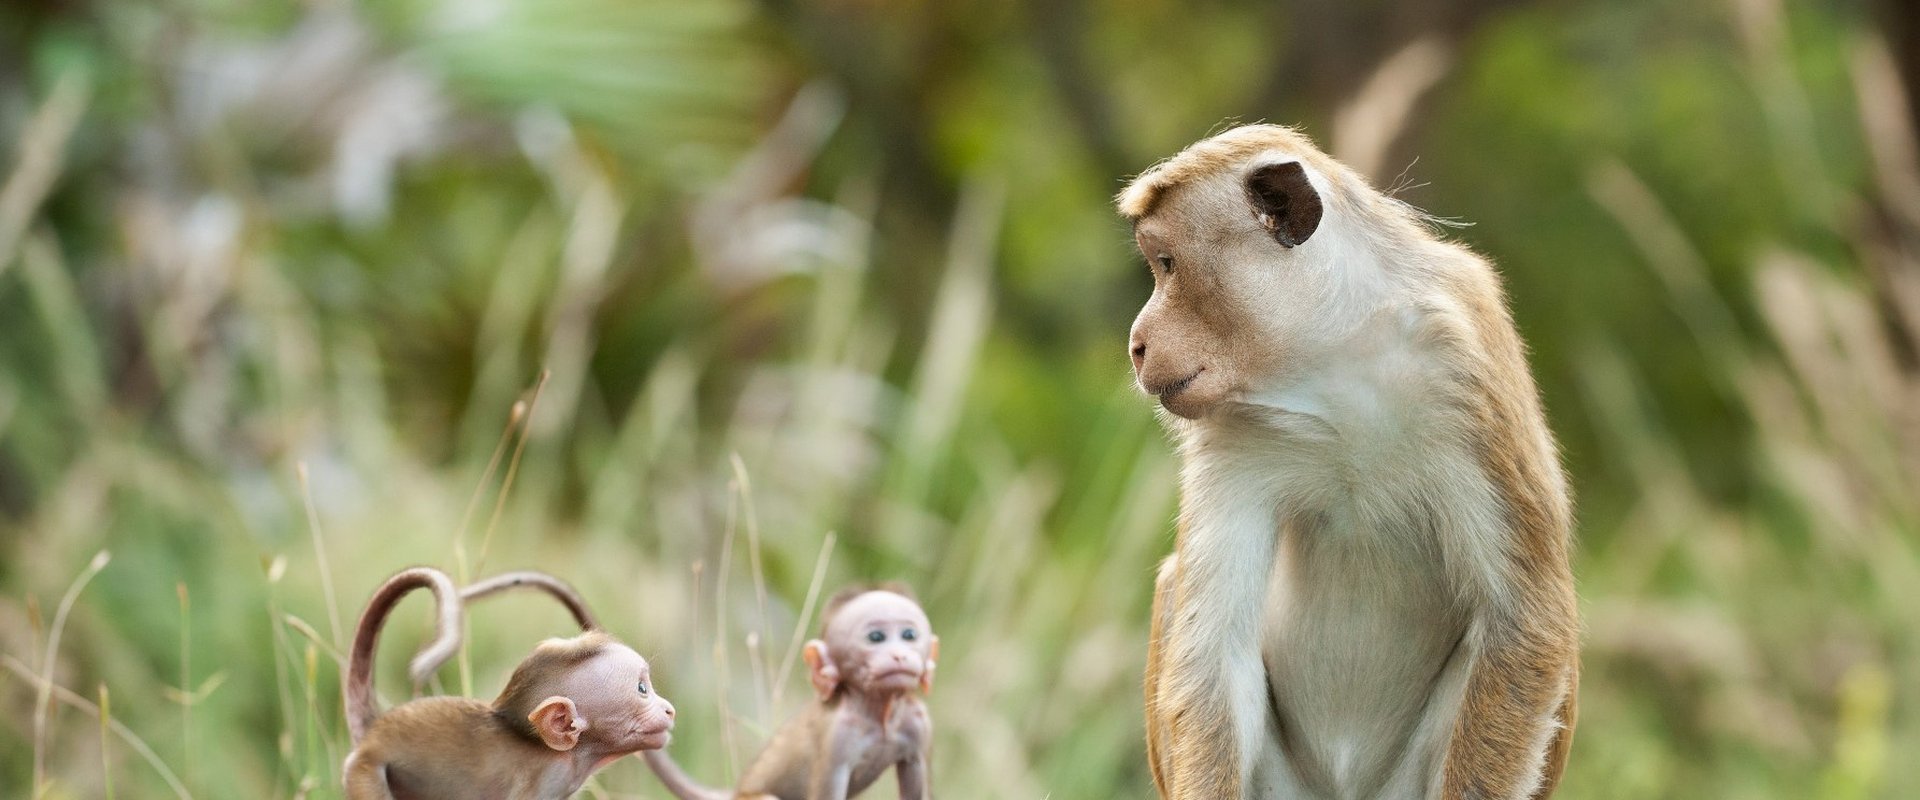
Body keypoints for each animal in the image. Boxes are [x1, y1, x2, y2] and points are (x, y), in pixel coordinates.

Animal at [341, 567, 679, 798]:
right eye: (642, 689)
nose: (669, 710)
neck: (571, 755)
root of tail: (373, 731)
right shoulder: (538, 785)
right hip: (366, 773)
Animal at [648, 579, 940, 798]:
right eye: (876, 637)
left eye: (909, 635)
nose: (899, 655)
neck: (878, 714)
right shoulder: (837, 736)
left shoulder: (919, 723)